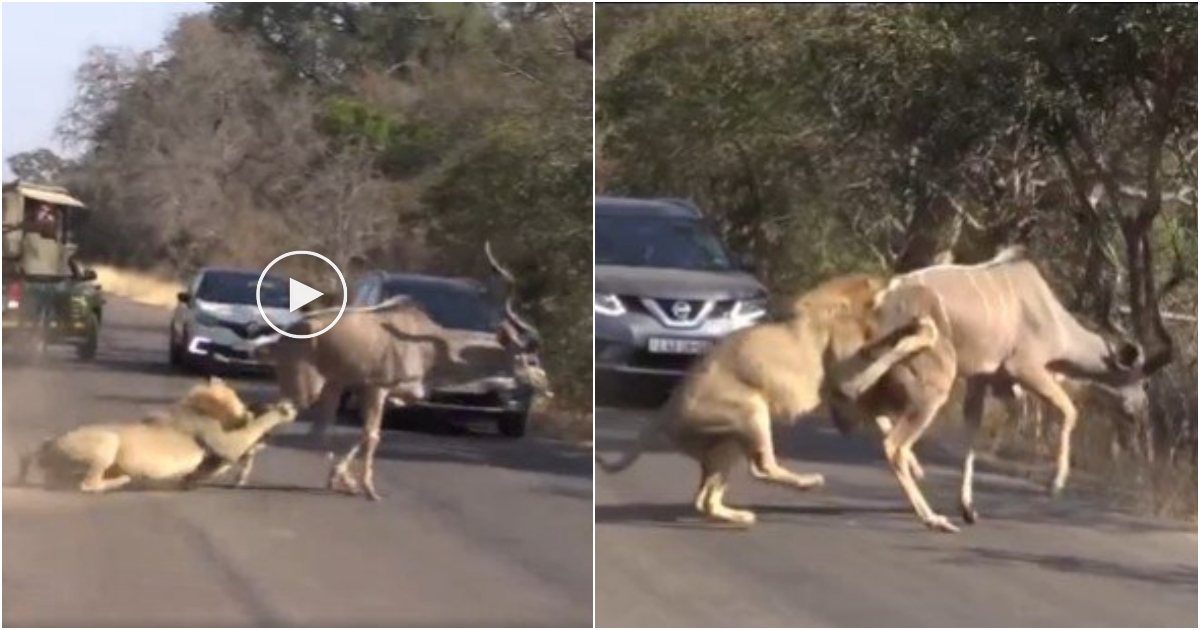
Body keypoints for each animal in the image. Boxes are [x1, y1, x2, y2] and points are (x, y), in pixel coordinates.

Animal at [15, 376, 298, 494]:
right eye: (239, 398)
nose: (248, 409)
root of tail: (49, 445)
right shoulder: (221, 440)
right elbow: (252, 431)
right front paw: (283, 411)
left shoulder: (212, 457)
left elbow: (210, 469)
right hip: (107, 440)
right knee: (86, 485)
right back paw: (121, 481)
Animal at [231, 242, 549, 501]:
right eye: (531, 360)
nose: (545, 387)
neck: (429, 347)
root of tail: (281, 340)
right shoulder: (376, 389)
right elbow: (372, 435)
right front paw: (370, 489)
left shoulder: (383, 393)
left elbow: (364, 435)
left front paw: (345, 480)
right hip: (304, 389)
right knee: (273, 416)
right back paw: (240, 474)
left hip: (330, 386)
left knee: (316, 431)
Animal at [595, 274, 940, 525]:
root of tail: (666, 408)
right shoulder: (848, 382)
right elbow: (888, 354)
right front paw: (920, 333)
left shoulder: (845, 399)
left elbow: (884, 422)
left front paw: (914, 465)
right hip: (751, 409)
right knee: (761, 467)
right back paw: (808, 482)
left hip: (726, 445)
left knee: (705, 499)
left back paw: (740, 516)